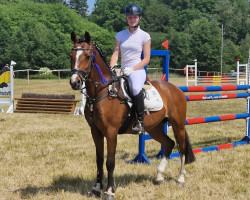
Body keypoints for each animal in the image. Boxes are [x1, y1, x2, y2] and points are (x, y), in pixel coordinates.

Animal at [69, 31, 194, 200]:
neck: (102, 92)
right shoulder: (95, 131)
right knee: (169, 144)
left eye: (88, 56)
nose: (74, 82)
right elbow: (99, 159)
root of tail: (174, 89)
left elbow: (110, 161)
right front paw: (96, 188)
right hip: (155, 128)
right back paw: (159, 176)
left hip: (178, 124)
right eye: (71, 55)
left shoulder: (111, 132)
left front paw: (109, 191)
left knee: (182, 148)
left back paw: (180, 178)